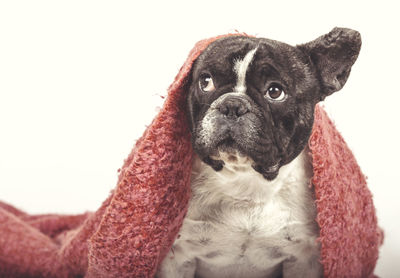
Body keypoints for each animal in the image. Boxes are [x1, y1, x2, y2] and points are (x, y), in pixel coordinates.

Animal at [157, 26, 362, 278]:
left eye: (275, 92)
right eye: (206, 82)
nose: (232, 105)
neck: (246, 184)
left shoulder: (304, 258)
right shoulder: (178, 256)